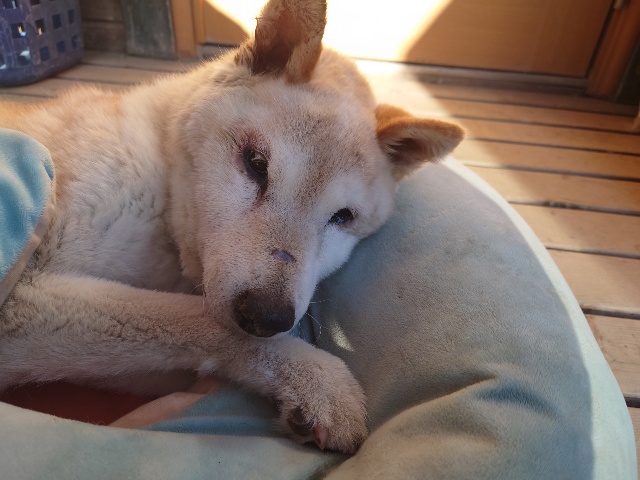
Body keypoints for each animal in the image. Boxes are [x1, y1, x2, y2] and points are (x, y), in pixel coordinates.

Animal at [0, 0, 463, 454]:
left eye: (343, 217)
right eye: (256, 164)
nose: (267, 315)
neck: (162, 194)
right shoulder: (20, 298)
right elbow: (193, 320)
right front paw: (317, 379)